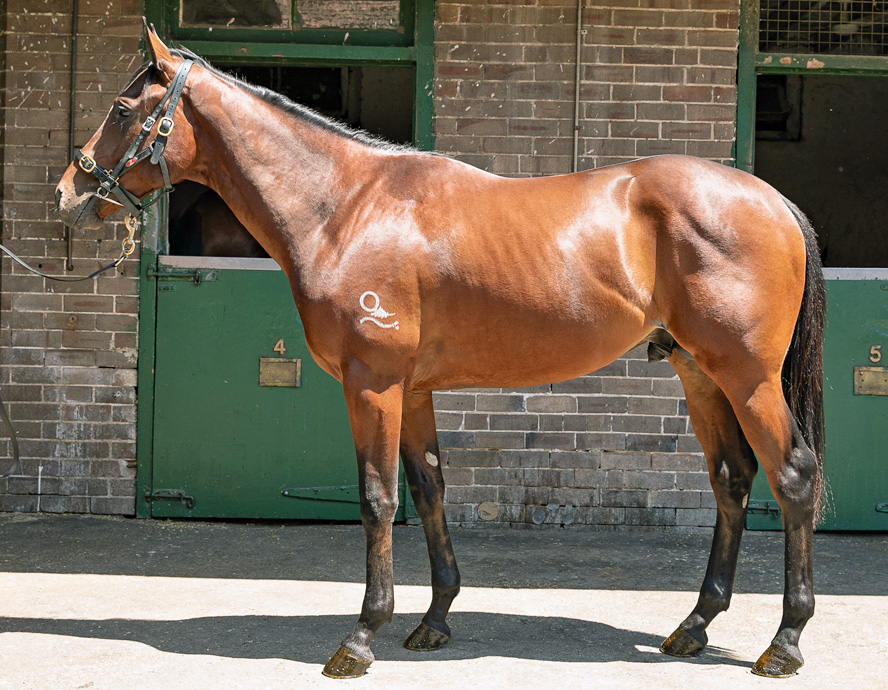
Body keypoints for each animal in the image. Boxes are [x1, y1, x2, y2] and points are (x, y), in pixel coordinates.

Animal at [57, 21, 824, 676]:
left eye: (123, 108)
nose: (68, 191)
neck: (345, 208)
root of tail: (773, 200)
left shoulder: (372, 383)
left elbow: (375, 498)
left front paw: (361, 637)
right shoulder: (414, 389)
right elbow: (428, 488)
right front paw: (433, 620)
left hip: (748, 378)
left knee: (792, 478)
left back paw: (785, 641)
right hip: (701, 374)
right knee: (731, 479)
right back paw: (694, 626)